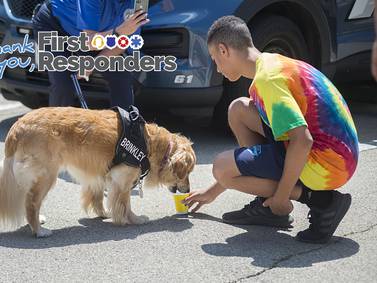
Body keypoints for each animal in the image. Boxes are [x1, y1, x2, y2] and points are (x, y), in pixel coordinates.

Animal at [0, 107, 194, 239]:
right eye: (187, 172)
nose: (188, 190)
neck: (150, 144)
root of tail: (16, 129)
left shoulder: (99, 175)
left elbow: (98, 196)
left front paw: (103, 213)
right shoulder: (123, 181)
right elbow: (126, 204)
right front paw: (134, 219)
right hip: (46, 175)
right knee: (31, 203)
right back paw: (39, 231)